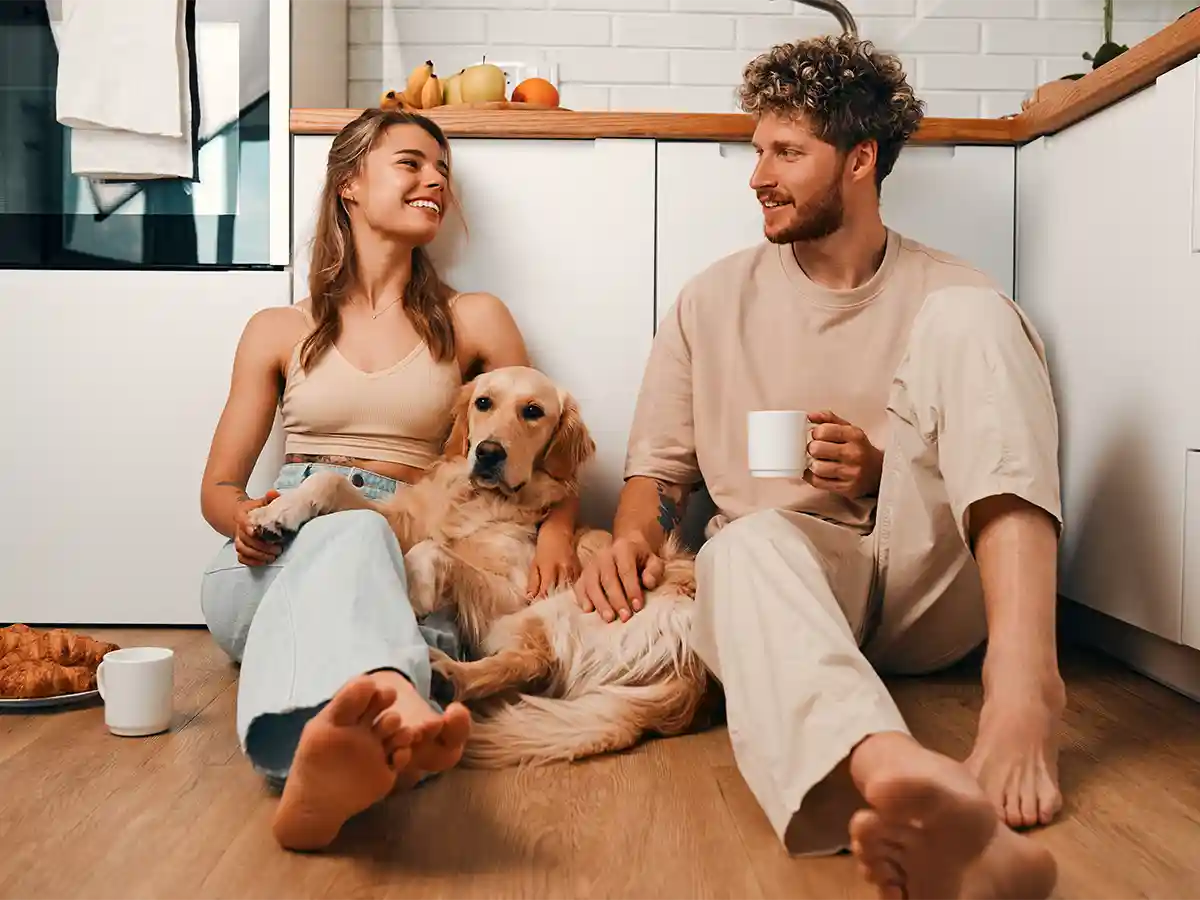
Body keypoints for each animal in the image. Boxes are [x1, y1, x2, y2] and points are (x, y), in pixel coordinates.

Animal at [247, 367, 705, 768]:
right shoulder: (404, 521)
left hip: (563, 606)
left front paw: (414, 594)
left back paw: (447, 674)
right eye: (483, 402)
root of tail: (694, 676)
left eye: (533, 411)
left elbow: (433, 550)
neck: (480, 500)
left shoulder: (517, 593)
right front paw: (276, 512)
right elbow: (331, 482)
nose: (487, 452)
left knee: (533, 661)